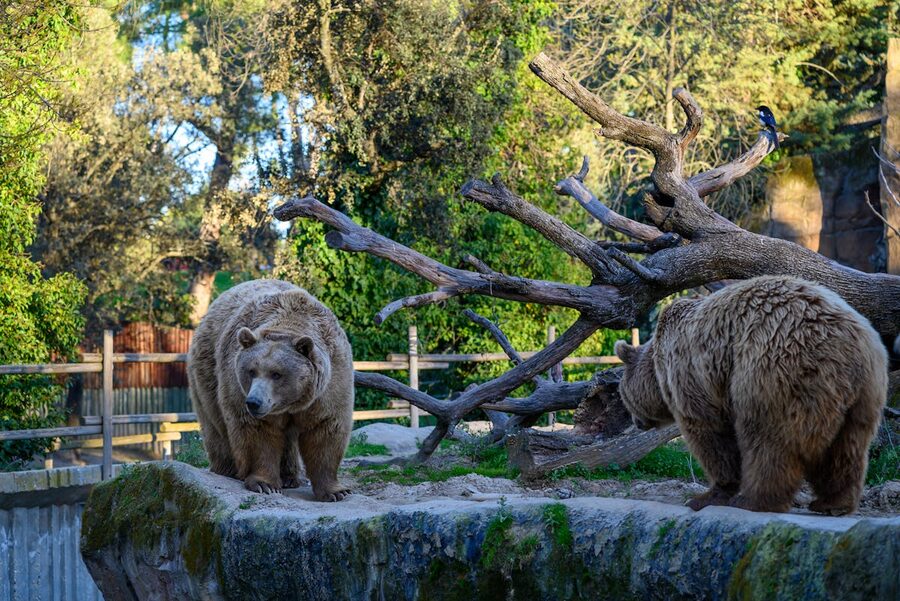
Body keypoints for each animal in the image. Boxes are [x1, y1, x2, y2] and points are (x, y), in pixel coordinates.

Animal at [187, 279, 354, 501]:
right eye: (251, 371)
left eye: (276, 374)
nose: (254, 402)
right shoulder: (237, 386)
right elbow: (258, 434)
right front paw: (264, 484)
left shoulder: (330, 385)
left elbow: (325, 430)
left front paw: (336, 491)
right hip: (206, 371)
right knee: (215, 425)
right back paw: (227, 469)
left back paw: (290, 477)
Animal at [614, 275, 888, 515]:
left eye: (623, 397)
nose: (636, 423)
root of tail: (850, 347)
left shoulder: (694, 375)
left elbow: (710, 434)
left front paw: (706, 495)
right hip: (865, 394)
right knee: (847, 449)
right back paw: (833, 503)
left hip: (775, 370)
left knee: (768, 440)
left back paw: (752, 500)